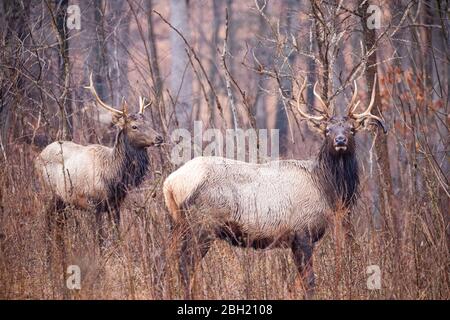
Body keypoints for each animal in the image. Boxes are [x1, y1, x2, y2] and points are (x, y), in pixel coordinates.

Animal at [36, 73, 163, 248]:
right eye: (134, 126)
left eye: (147, 122)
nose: (159, 138)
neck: (113, 177)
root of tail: (38, 156)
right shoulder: (92, 204)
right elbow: (99, 239)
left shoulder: (116, 205)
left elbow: (117, 236)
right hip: (48, 193)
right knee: (47, 221)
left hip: (63, 201)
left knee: (59, 224)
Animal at [163, 74, 384, 298]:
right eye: (327, 130)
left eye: (351, 129)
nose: (340, 140)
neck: (326, 189)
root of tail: (170, 183)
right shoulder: (302, 232)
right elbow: (309, 281)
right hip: (202, 224)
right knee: (185, 264)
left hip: (177, 223)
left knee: (166, 258)